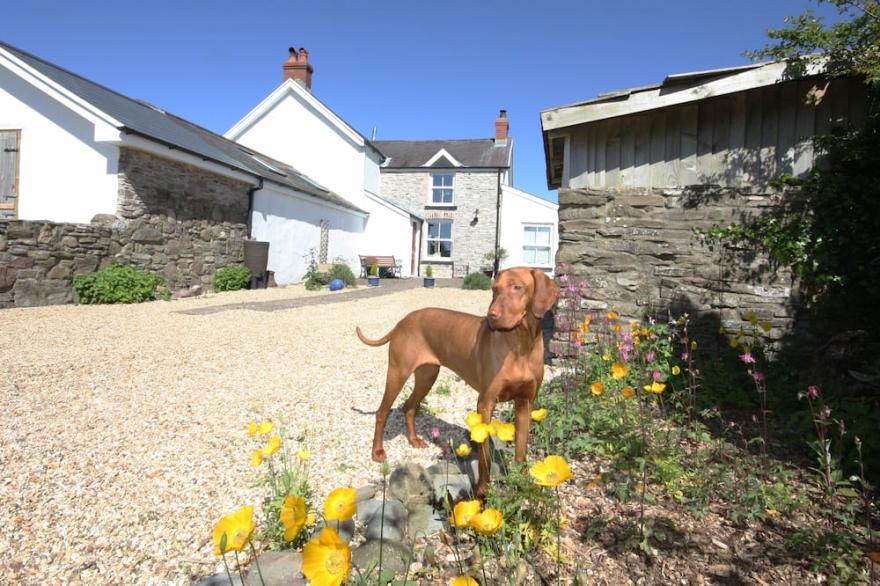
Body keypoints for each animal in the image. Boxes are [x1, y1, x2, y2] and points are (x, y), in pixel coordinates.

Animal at [356, 266, 556, 496]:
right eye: (495, 289)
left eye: (517, 287)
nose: (492, 316)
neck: (521, 345)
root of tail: (402, 321)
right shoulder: (485, 402)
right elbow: (485, 458)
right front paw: (482, 493)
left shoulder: (525, 402)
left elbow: (521, 451)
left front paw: (524, 485)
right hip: (398, 372)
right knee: (382, 412)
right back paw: (377, 451)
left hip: (427, 375)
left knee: (409, 406)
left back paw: (414, 440)